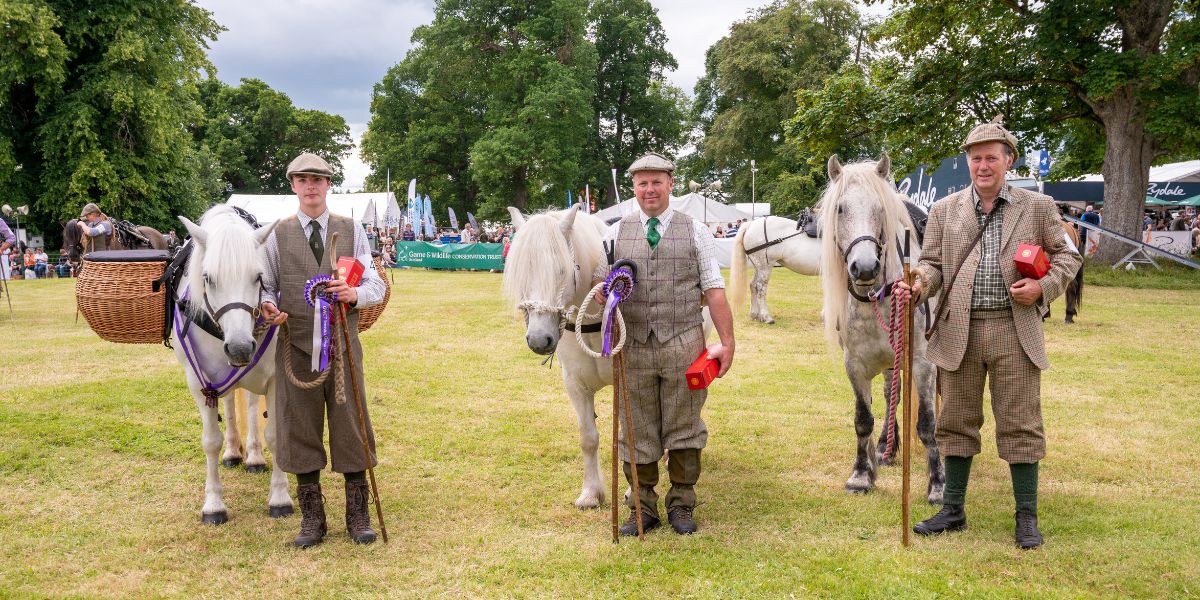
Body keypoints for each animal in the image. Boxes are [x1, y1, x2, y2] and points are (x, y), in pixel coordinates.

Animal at [174, 206, 292, 525]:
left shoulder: (275, 378)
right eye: (208, 278)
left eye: (258, 277)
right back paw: (233, 452)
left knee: (250, 406)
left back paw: (253, 456)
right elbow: (210, 441)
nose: (240, 348)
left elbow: (275, 434)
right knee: (228, 406)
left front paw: (280, 497)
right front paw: (213, 504)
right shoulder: (199, 382)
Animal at [816, 153, 945, 501]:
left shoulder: (923, 363)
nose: (864, 267)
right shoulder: (855, 365)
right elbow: (863, 419)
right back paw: (886, 445)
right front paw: (862, 474)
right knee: (891, 396)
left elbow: (927, 424)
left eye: (879, 209)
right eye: (840, 209)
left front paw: (937, 484)